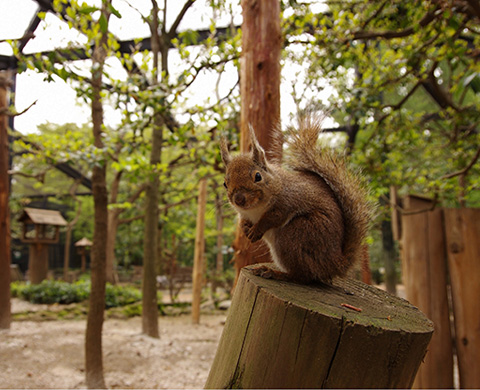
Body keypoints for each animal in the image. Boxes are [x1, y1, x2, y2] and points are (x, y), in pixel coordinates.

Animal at [221, 116, 376, 284]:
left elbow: (272, 218)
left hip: (295, 235)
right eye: (225, 184)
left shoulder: (287, 202)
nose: (239, 199)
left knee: (304, 276)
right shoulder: (244, 213)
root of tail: (335, 264)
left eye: (257, 176)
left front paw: (256, 230)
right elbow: (243, 221)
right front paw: (245, 229)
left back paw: (274, 273)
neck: (255, 209)